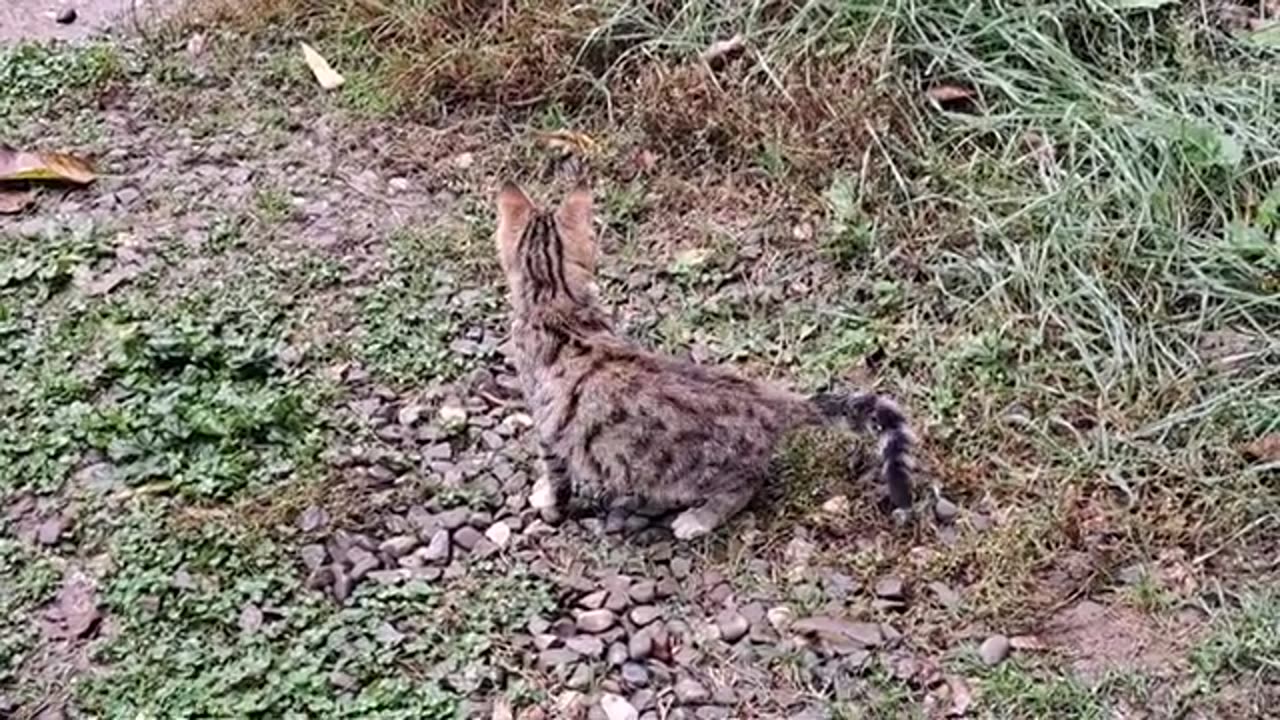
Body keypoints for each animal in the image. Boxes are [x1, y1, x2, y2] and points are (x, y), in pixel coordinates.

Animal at [491, 181, 921, 535]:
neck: (554, 298)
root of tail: (770, 398)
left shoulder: (547, 425)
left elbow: (557, 478)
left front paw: (549, 505)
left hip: (702, 470)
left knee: (746, 486)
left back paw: (697, 520)